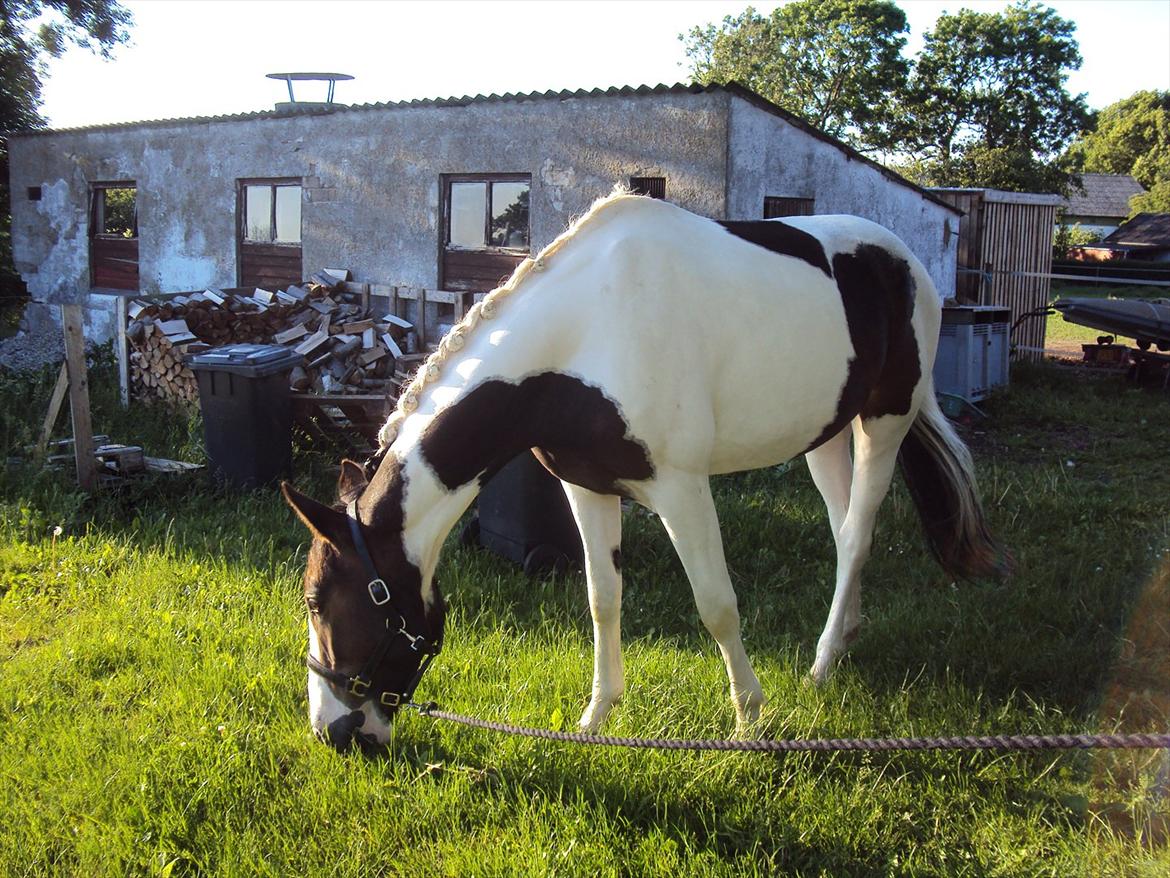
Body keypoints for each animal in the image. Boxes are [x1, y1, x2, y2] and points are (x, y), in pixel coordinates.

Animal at [283, 190, 1006, 749]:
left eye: (319, 600)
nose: (334, 733)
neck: (587, 330)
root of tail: (905, 260)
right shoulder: (586, 486)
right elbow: (603, 599)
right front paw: (595, 719)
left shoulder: (682, 490)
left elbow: (717, 606)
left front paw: (749, 723)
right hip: (824, 435)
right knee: (842, 530)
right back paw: (844, 638)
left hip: (885, 420)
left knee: (857, 535)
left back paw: (823, 665)